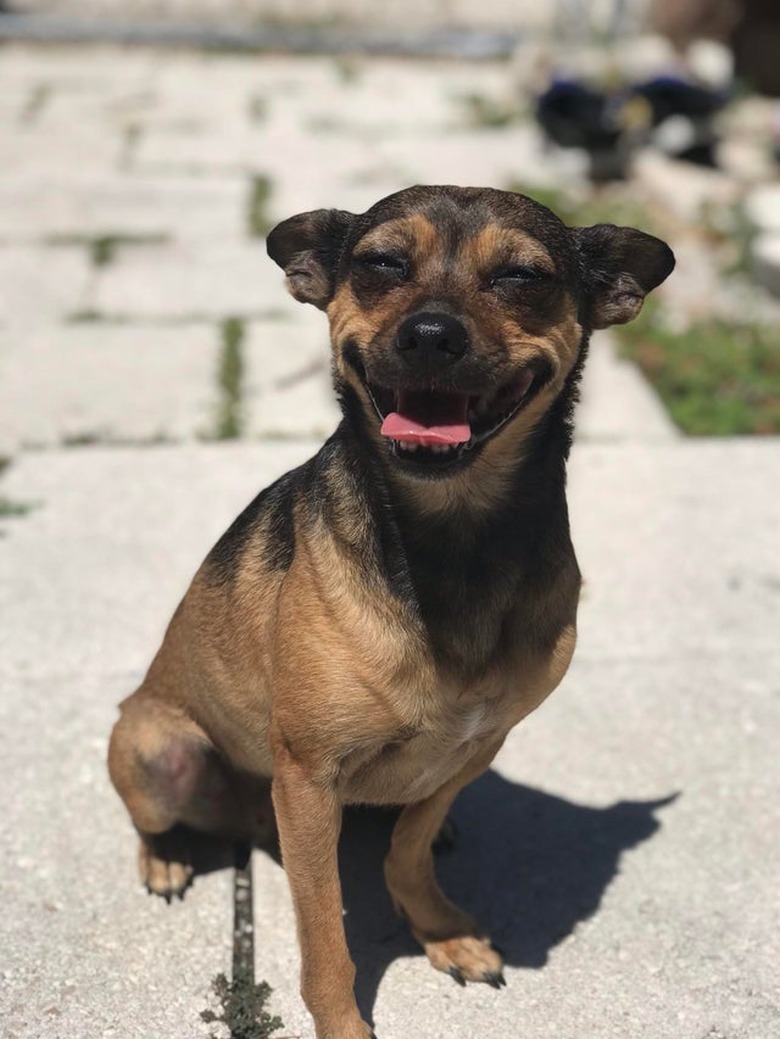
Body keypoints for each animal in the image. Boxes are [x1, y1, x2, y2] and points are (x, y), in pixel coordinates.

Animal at [106, 187, 673, 1039]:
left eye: (521, 276)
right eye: (381, 264)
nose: (431, 335)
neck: (454, 534)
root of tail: (248, 819)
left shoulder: (474, 747)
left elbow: (405, 847)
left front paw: (437, 928)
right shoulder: (309, 780)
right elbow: (324, 934)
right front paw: (344, 1022)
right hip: (157, 748)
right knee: (154, 814)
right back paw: (163, 858)